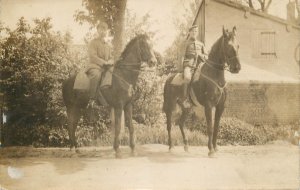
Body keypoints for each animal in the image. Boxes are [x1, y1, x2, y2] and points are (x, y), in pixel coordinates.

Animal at [163, 27, 240, 157]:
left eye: (238, 45)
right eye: (229, 46)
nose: (237, 68)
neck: (215, 75)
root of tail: (168, 79)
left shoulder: (220, 107)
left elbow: (216, 127)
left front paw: (215, 147)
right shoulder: (209, 106)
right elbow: (210, 127)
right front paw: (211, 150)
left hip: (187, 108)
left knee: (181, 123)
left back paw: (186, 146)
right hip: (171, 106)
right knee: (169, 125)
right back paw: (171, 147)